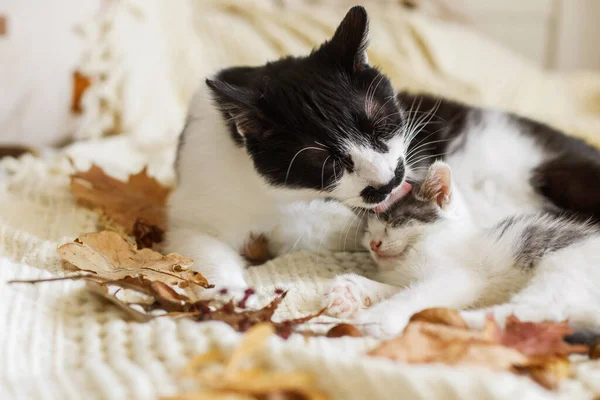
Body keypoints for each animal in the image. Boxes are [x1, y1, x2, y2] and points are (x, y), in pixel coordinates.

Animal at [326, 161, 600, 336]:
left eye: (394, 221)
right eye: (368, 231)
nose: (374, 245)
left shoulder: (457, 276)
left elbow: (415, 294)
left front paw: (377, 318)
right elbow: (401, 288)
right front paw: (351, 290)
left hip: (563, 268)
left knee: (537, 312)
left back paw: (444, 320)